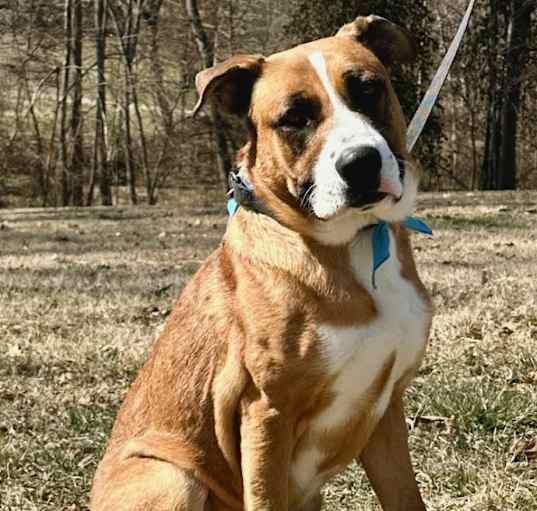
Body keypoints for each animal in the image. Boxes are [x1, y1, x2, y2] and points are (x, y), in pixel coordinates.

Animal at [90, 15, 434, 511]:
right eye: (294, 118)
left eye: (368, 89)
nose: (360, 163)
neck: (354, 242)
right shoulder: (266, 413)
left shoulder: (385, 411)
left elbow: (406, 496)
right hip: (171, 477)